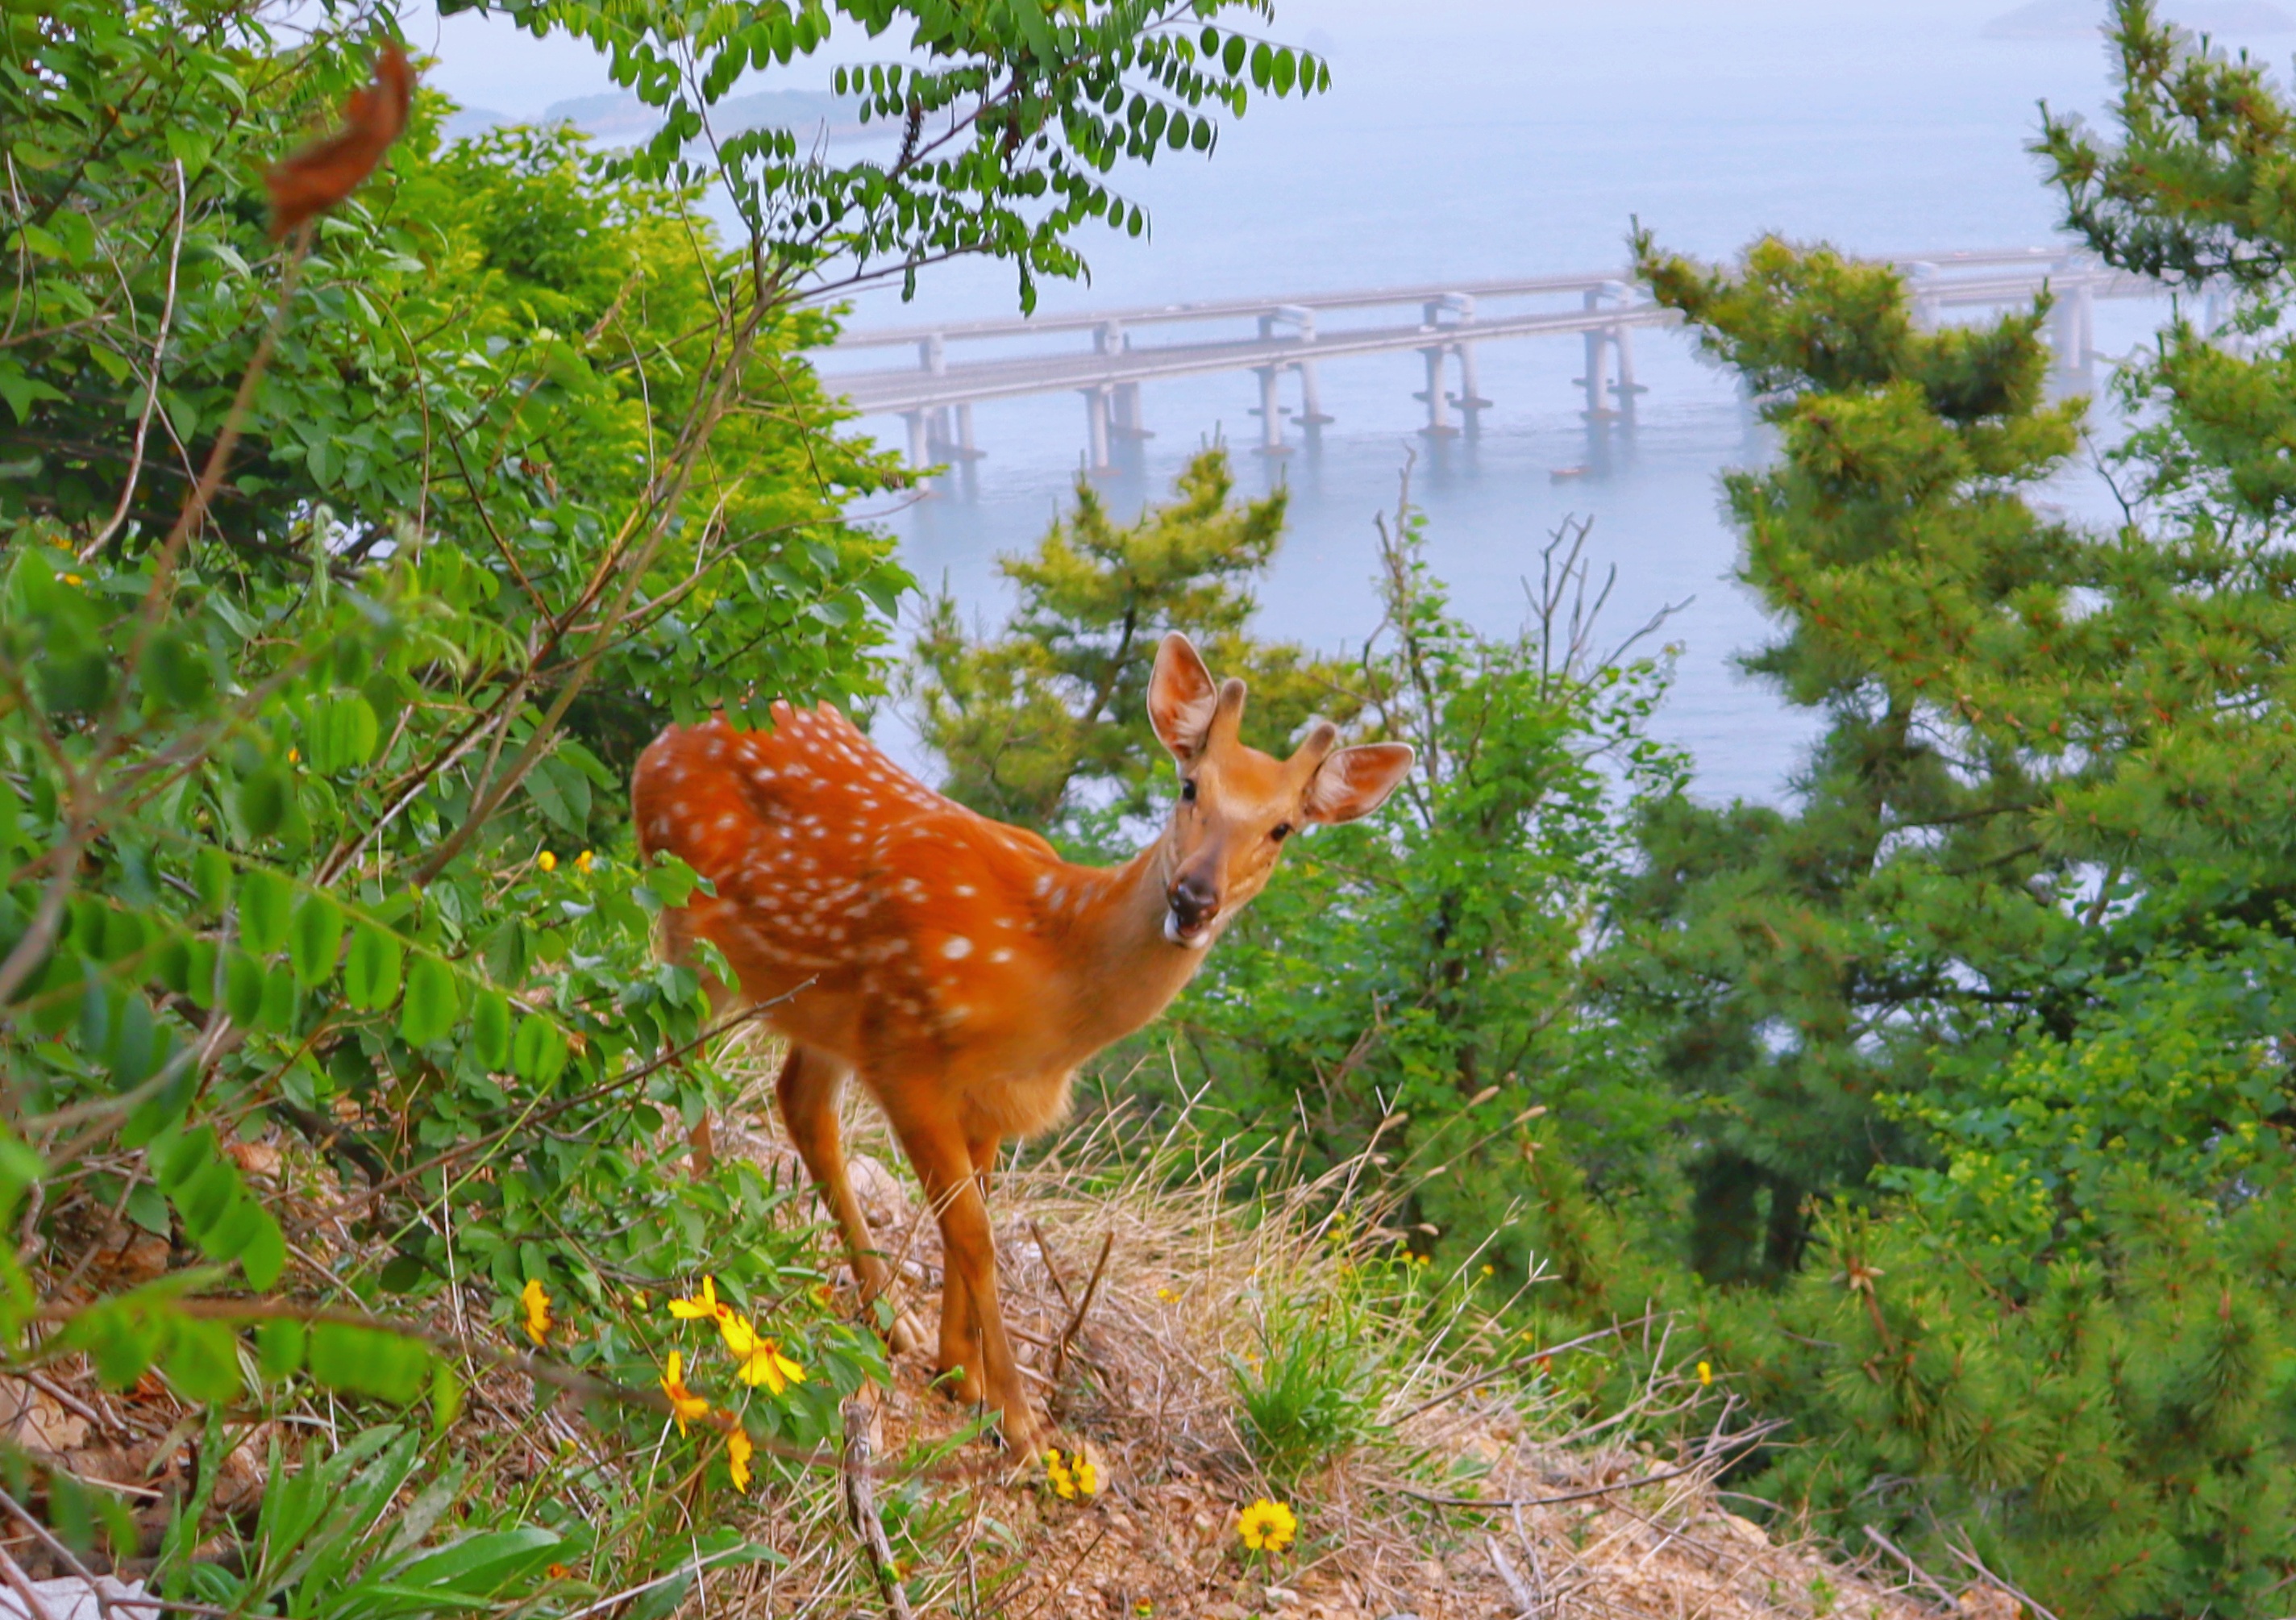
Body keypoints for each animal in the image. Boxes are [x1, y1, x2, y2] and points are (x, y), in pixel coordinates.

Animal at [631, 633, 1414, 1449]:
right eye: (1190, 785)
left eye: (1282, 827)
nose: (1195, 899)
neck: (1048, 973)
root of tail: (666, 735)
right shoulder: (907, 1056)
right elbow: (975, 1235)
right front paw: (1020, 1420)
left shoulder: (988, 1096)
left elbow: (967, 1218)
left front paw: (958, 1371)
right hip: (689, 919)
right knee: (678, 1056)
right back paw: (709, 1230)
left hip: (823, 1008)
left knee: (800, 1102)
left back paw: (892, 1318)